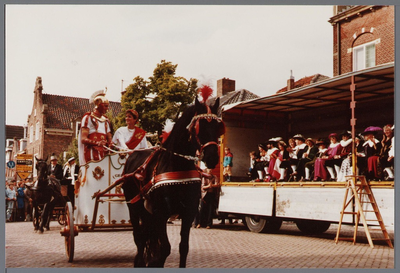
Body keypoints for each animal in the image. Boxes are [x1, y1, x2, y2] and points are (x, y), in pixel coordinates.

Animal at [120, 96, 223, 266]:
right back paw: (139, 261)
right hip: (134, 209)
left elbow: (183, 248)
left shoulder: (188, 213)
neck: (177, 166)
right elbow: (165, 248)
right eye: (199, 127)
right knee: (139, 239)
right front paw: (154, 262)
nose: (212, 157)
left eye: (218, 127)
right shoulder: (161, 214)